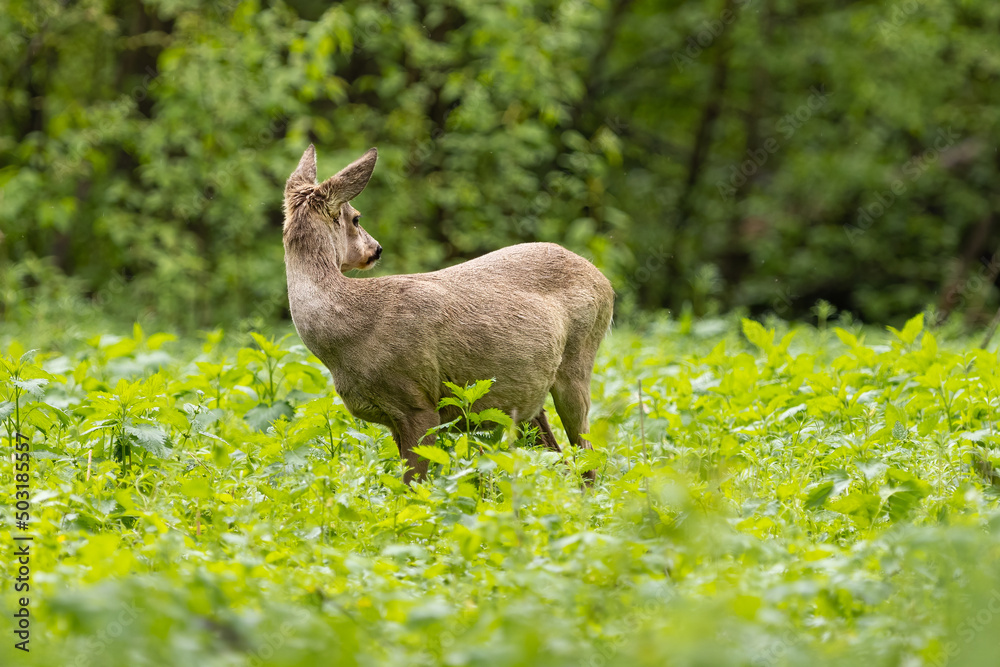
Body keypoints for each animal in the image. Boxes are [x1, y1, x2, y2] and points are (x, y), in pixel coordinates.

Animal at [282, 144, 614, 484]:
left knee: (585, 453)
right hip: (525, 398)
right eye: (357, 218)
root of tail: (603, 279)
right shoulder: (393, 417)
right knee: (558, 456)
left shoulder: (417, 404)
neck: (350, 331)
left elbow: (413, 484)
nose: (377, 248)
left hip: (578, 362)